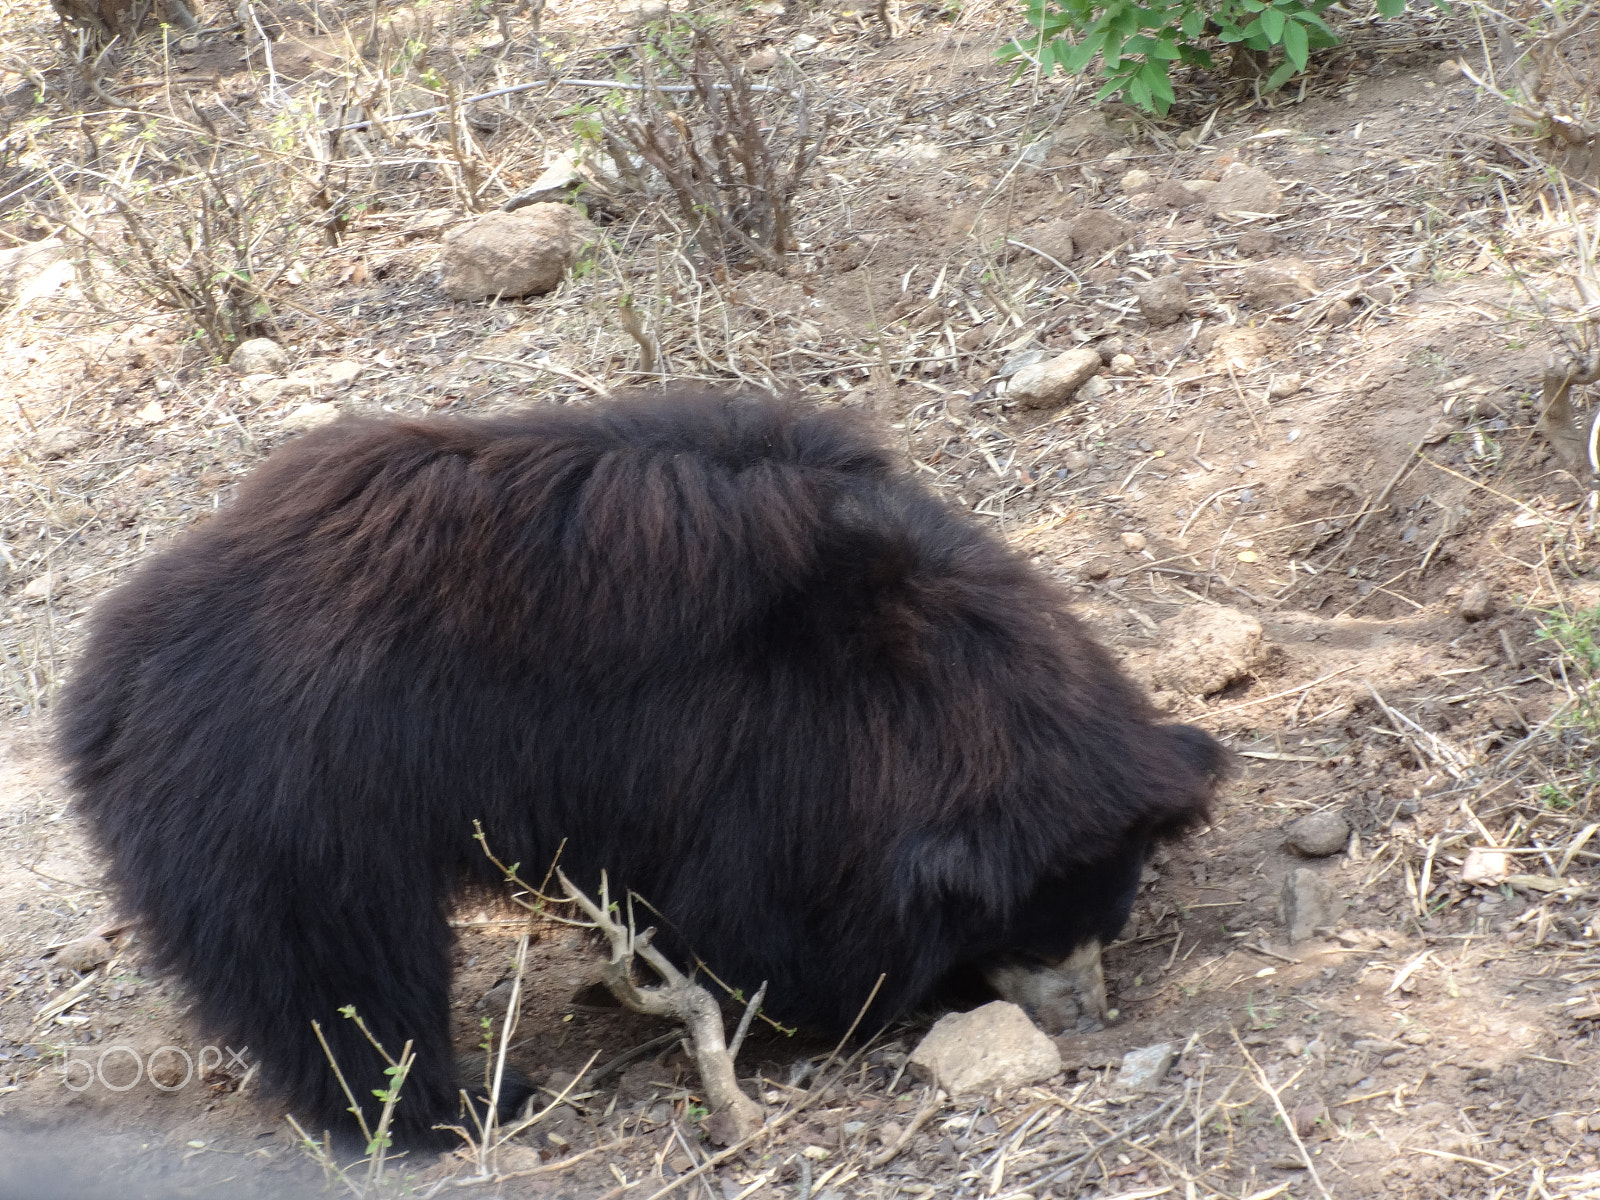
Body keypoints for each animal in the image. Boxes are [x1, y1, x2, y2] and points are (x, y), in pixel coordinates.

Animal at [56, 390, 1216, 1152]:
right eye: (1035, 929)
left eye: (1105, 921)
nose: (1086, 1018)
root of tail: (112, 676)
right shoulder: (761, 756)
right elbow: (773, 927)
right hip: (292, 794)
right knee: (339, 966)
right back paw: (453, 1107)